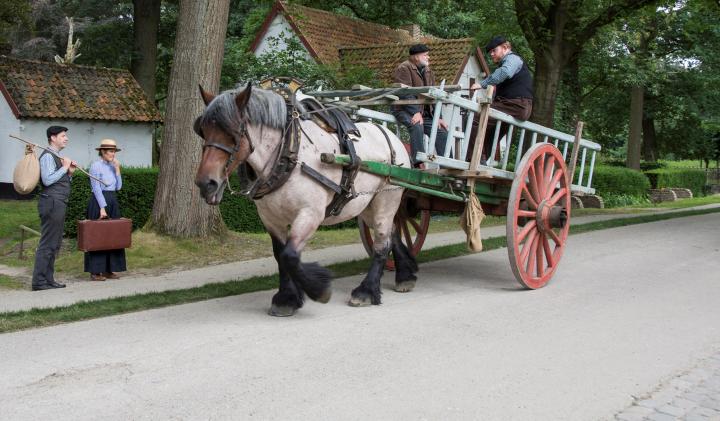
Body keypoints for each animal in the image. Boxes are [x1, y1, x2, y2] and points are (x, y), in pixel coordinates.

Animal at [193, 83, 419, 316]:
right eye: (202, 130)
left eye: (234, 132)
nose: (206, 183)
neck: (289, 153)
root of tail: (391, 136)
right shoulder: (270, 218)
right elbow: (280, 255)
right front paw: (287, 299)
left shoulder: (310, 213)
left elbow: (290, 255)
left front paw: (318, 288)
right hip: (366, 205)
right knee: (392, 232)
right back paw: (405, 275)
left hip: (387, 197)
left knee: (382, 243)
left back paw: (366, 291)